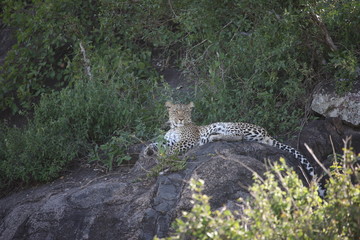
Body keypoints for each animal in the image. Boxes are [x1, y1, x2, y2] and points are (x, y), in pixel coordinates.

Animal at [144, 101, 326, 197]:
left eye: (185, 112)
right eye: (175, 111)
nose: (180, 119)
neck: (175, 127)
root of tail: (267, 133)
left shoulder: (188, 141)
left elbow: (173, 149)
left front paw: (162, 157)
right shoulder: (167, 140)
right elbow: (155, 143)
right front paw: (147, 151)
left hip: (230, 125)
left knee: (237, 137)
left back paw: (213, 137)